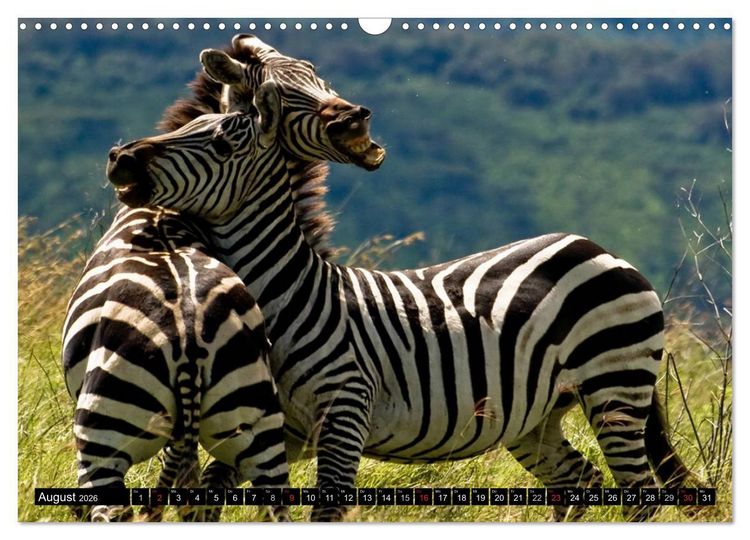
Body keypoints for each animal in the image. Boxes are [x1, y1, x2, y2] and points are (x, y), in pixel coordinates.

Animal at [108, 35, 696, 522]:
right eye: (186, 130)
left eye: (221, 144)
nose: (121, 157)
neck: (288, 294)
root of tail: (596, 247)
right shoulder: (281, 427)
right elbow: (207, 494)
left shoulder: (345, 412)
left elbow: (325, 511)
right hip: (539, 415)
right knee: (580, 484)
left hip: (615, 386)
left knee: (638, 496)